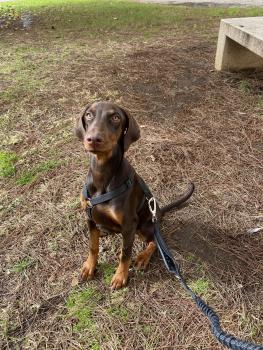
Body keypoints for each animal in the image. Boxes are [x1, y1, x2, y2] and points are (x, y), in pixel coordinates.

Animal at [75, 101, 195, 290]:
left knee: (155, 241)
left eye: (116, 117)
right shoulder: (89, 216)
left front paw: (120, 276)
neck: (102, 173)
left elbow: (125, 253)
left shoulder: (129, 224)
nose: (93, 139)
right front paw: (89, 267)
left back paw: (143, 257)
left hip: (144, 226)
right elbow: (92, 246)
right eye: (88, 115)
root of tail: (159, 211)